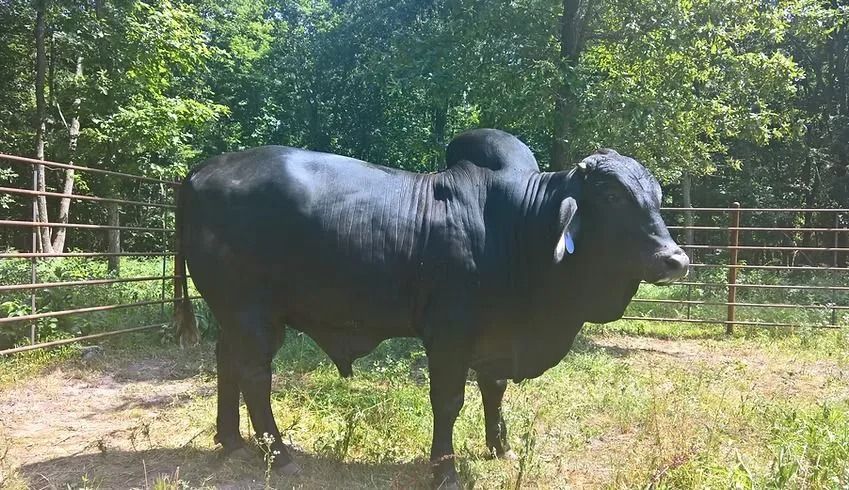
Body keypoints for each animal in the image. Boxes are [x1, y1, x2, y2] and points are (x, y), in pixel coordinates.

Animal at [172, 129, 689, 489]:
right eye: (611, 196)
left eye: (657, 197)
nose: (675, 259)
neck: (520, 228)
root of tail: (198, 172)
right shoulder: (450, 334)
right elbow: (449, 401)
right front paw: (445, 470)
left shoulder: (493, 337)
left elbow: (493, 389)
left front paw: (500, 447)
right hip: (253, 313)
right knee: (255, 376)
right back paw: (278, 454)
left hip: (233, 314)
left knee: (227, 362)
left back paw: (232, 441)